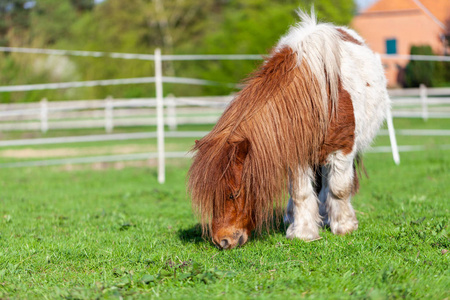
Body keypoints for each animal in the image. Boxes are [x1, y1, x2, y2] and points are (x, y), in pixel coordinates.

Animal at [188, 11, 388, 248]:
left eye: (233, 194)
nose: (223, 241)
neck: (321, 96)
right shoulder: (297, 153)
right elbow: (301, 193)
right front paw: (303, 232)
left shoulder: (342, 150)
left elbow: (339, 189)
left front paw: (344, 226)